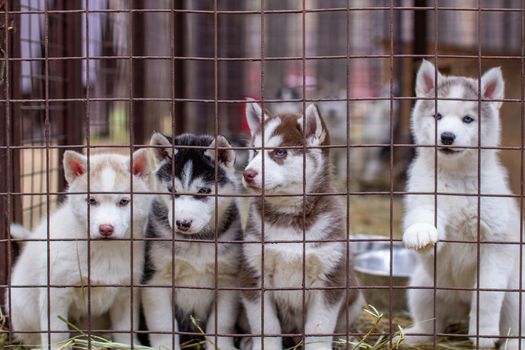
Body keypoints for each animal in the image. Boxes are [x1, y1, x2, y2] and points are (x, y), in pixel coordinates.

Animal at [5, 149, 154, 348]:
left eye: (124, 201)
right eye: (91, 200)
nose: (106, 228)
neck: (105, 251)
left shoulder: (126, 293)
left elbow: (125, 330)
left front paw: (129, 345)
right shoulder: (56, 293)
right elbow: (57, 332)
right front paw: (58, 347)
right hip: (24, 309)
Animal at [142, 133, 243, 350]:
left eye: (204, 191)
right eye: (172, 190)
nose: (182, 223)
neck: (197, 241)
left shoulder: (227, 279)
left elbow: (222, 321)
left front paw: (220, 345)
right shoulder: (156, 279)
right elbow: (162, 323)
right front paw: (165, 346)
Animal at [239, 101, 362, 350]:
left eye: (279, 152)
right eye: (255, 151)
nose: (247, 174)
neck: (288, 217)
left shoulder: (330, 278)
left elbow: (319, 328)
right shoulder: (254, 273)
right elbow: (266, 325)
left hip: (355, 293)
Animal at [402, 59, 520, 348]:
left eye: (468, 119)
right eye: (437, 116)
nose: (446, 136)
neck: (455, 177)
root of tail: (460, 303)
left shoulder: (495, 244)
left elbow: (487, 295)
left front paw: (484, 333)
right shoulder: (425, 199)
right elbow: (423, 219)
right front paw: (420, 232)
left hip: (515, 297)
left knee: (513, 324)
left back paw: (513, 342)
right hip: (422, 286)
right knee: (432, 322)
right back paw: (416, 334)